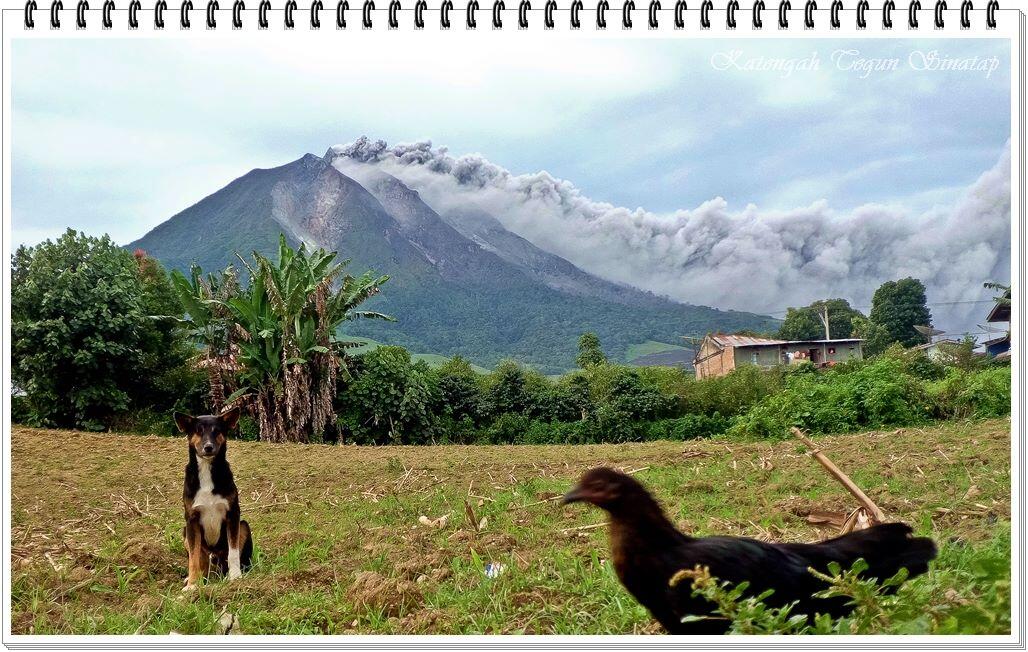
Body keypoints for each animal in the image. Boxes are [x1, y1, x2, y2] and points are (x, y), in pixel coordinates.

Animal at [173, 407, 251, 588]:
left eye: (217, 431)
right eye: (198, 431)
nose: (208, 447)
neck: (207, 470)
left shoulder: (233, 514)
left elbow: (233, 552)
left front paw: (235, 577)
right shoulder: (191, 519)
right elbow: (193, 559)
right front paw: (192, 585)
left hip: (244, 526)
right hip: (185, 532)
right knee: (201, 561)